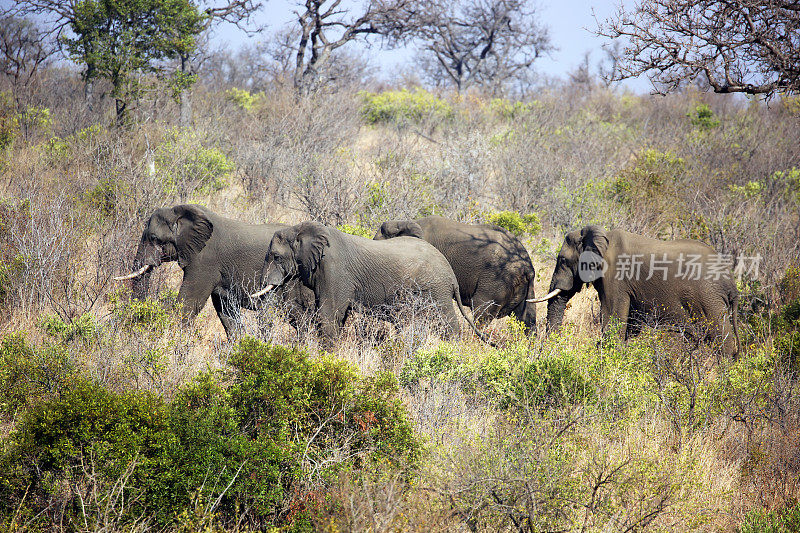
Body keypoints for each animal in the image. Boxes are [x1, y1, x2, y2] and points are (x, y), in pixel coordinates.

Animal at [250, 221, 490, 342]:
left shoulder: (335, 270)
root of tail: (451, 275)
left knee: (446, 324)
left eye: (276, 257)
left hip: (436, 290)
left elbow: (329, 313)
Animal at [536, 225, 740, 356]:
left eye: (562, 260)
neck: (599, 237)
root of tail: (731, 283)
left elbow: (612, 318)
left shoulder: (615, 278)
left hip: (709, 297)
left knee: (722, 338)